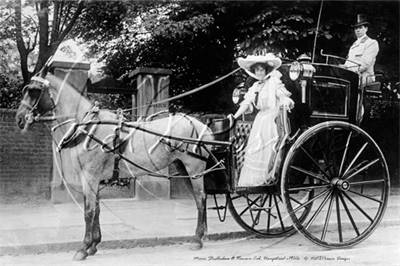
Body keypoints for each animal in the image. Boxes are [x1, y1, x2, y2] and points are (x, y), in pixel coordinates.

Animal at [14, 68, 216, 260]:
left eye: (33, 90)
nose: (19, 119)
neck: (87, 126)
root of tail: (202, 126)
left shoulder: (90, 176)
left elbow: (88, 211)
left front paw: (83, 248)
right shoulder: (93, 178)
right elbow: (97, 209)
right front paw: (94, 245)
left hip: (194, 169)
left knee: (200, 199)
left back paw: (197, 239)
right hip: (183, 169)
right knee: (200, 198)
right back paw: (202, 235)